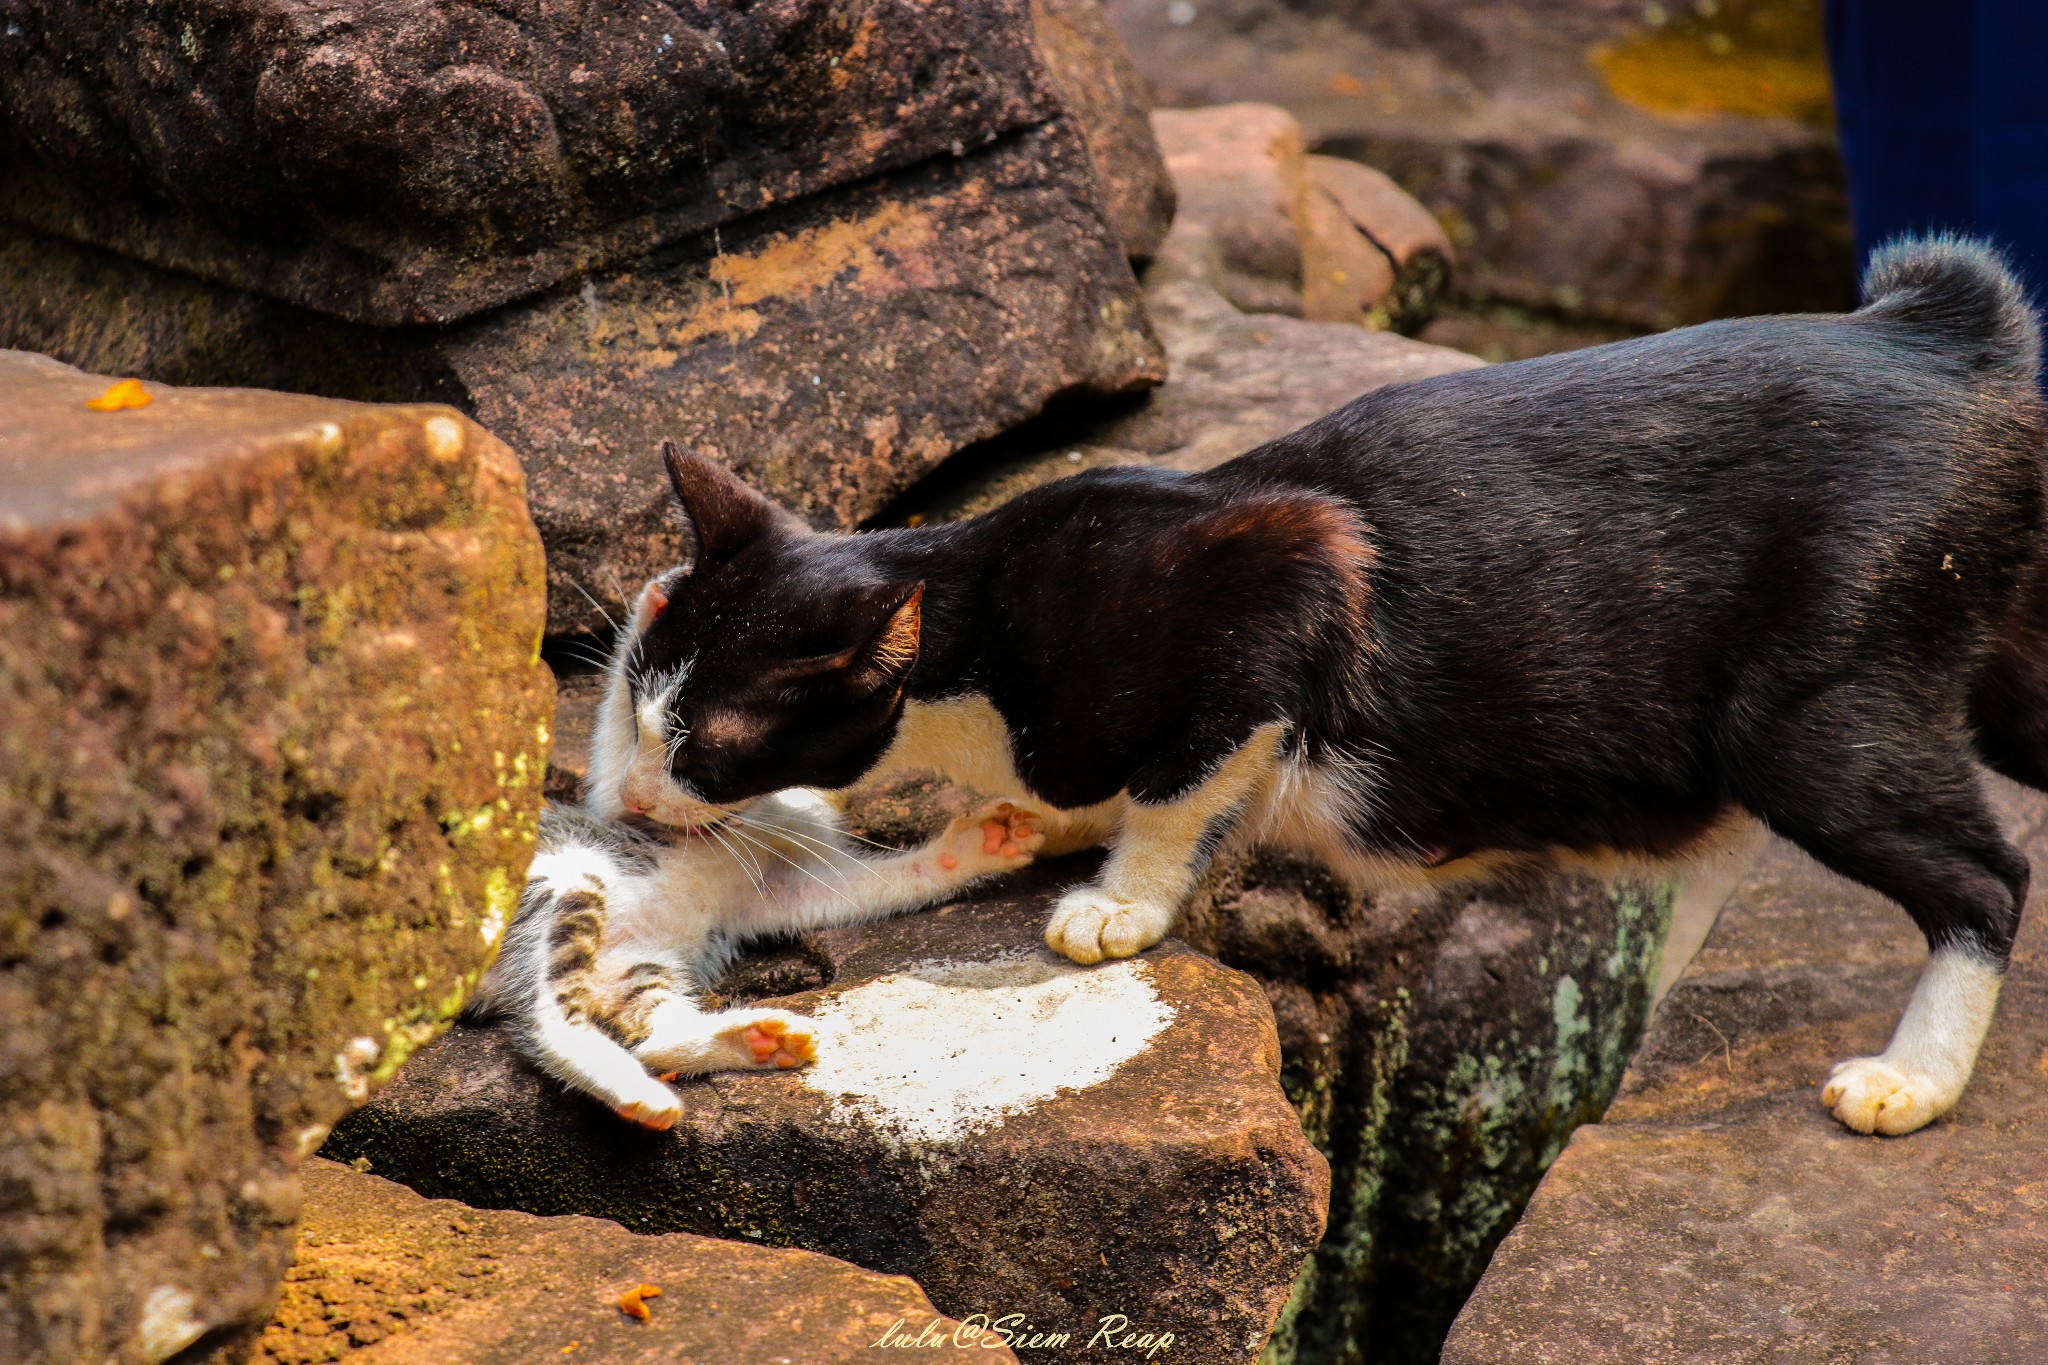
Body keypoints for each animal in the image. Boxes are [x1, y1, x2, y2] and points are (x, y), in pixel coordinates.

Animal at [618, 237, 2048, 1146]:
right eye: (634, 709)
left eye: (704, 737)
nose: (626, 799)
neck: (979, 627)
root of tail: (1936, 330)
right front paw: (1010, 838)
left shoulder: (1282, 581)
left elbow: (1182, 776)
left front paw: (1120, 903)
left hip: (1804, 710)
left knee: (1985, 877)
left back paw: (1910, 1079)